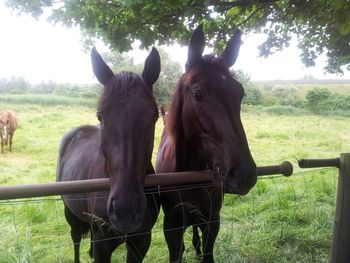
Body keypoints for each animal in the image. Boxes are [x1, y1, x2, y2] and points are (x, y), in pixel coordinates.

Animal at [57, 46, 161, 262]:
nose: (125, 211)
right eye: (100, 116)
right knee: (76, 240)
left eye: (154, 116)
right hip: (70, 214)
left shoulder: (141, 241)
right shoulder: (102, 245)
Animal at [156, 25, 258, 263]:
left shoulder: (213, 221)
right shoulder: (171, 228)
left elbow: (208, 253)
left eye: (240, 94)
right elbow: (176, 253)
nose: (243, 174)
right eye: (197, 93)